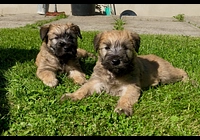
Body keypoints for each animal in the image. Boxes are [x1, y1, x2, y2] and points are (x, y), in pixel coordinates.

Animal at [60, 30, 188, 116]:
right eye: (107, 47)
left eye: (126, 48)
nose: (116, 61)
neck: (113, 73)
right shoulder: (95, 81)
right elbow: (83, 89)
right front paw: (72, 96)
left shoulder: (131, 86)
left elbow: (126, 98)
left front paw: (122, 109)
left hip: (167, 75)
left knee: (181, 71)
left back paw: (188, 81)